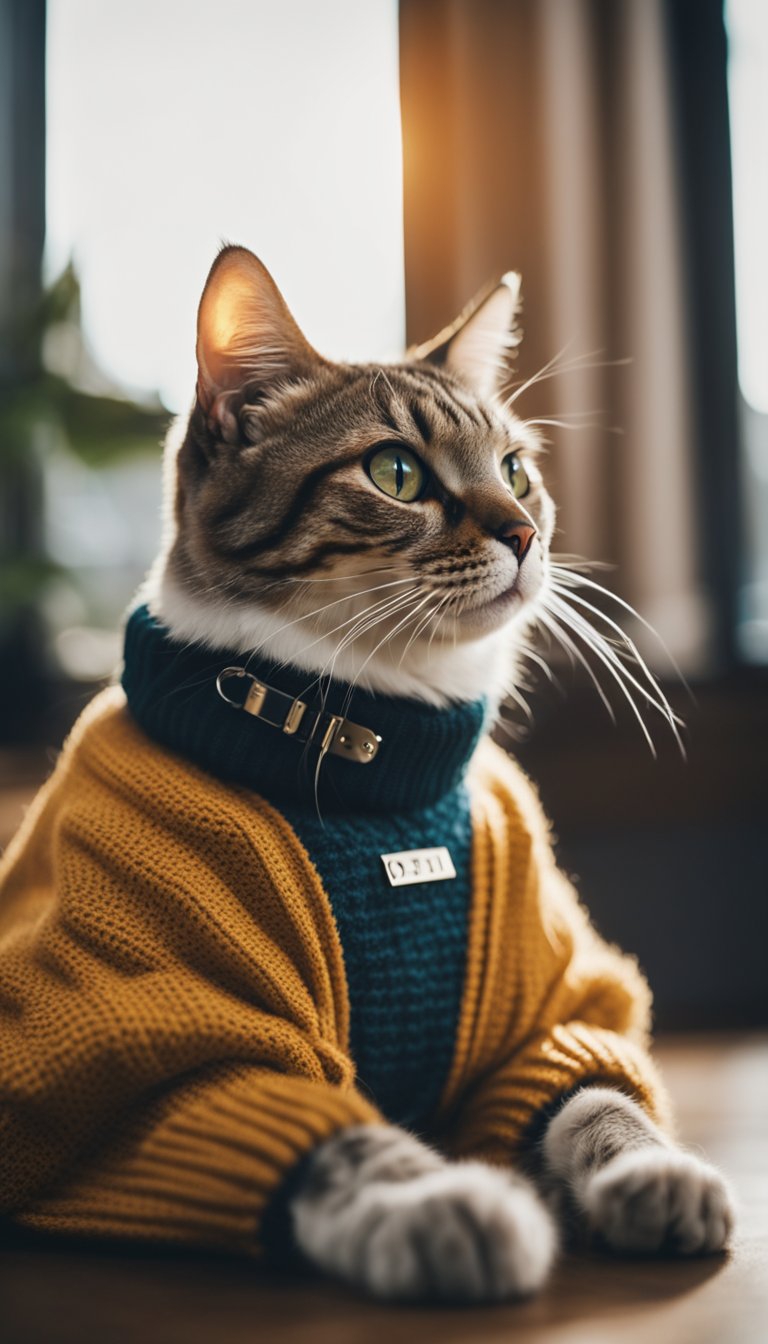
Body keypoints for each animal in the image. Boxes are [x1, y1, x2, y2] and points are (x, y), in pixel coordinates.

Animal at [0, 244, 731, 1300]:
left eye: (517, 469)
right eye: (397, 471)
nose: (524, 534)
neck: (365, 761)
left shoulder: (546, 1012)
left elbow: (595, 1097)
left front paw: (653, 1172)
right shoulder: (153, 1046)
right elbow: (333, 1135)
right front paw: (442, 1208)